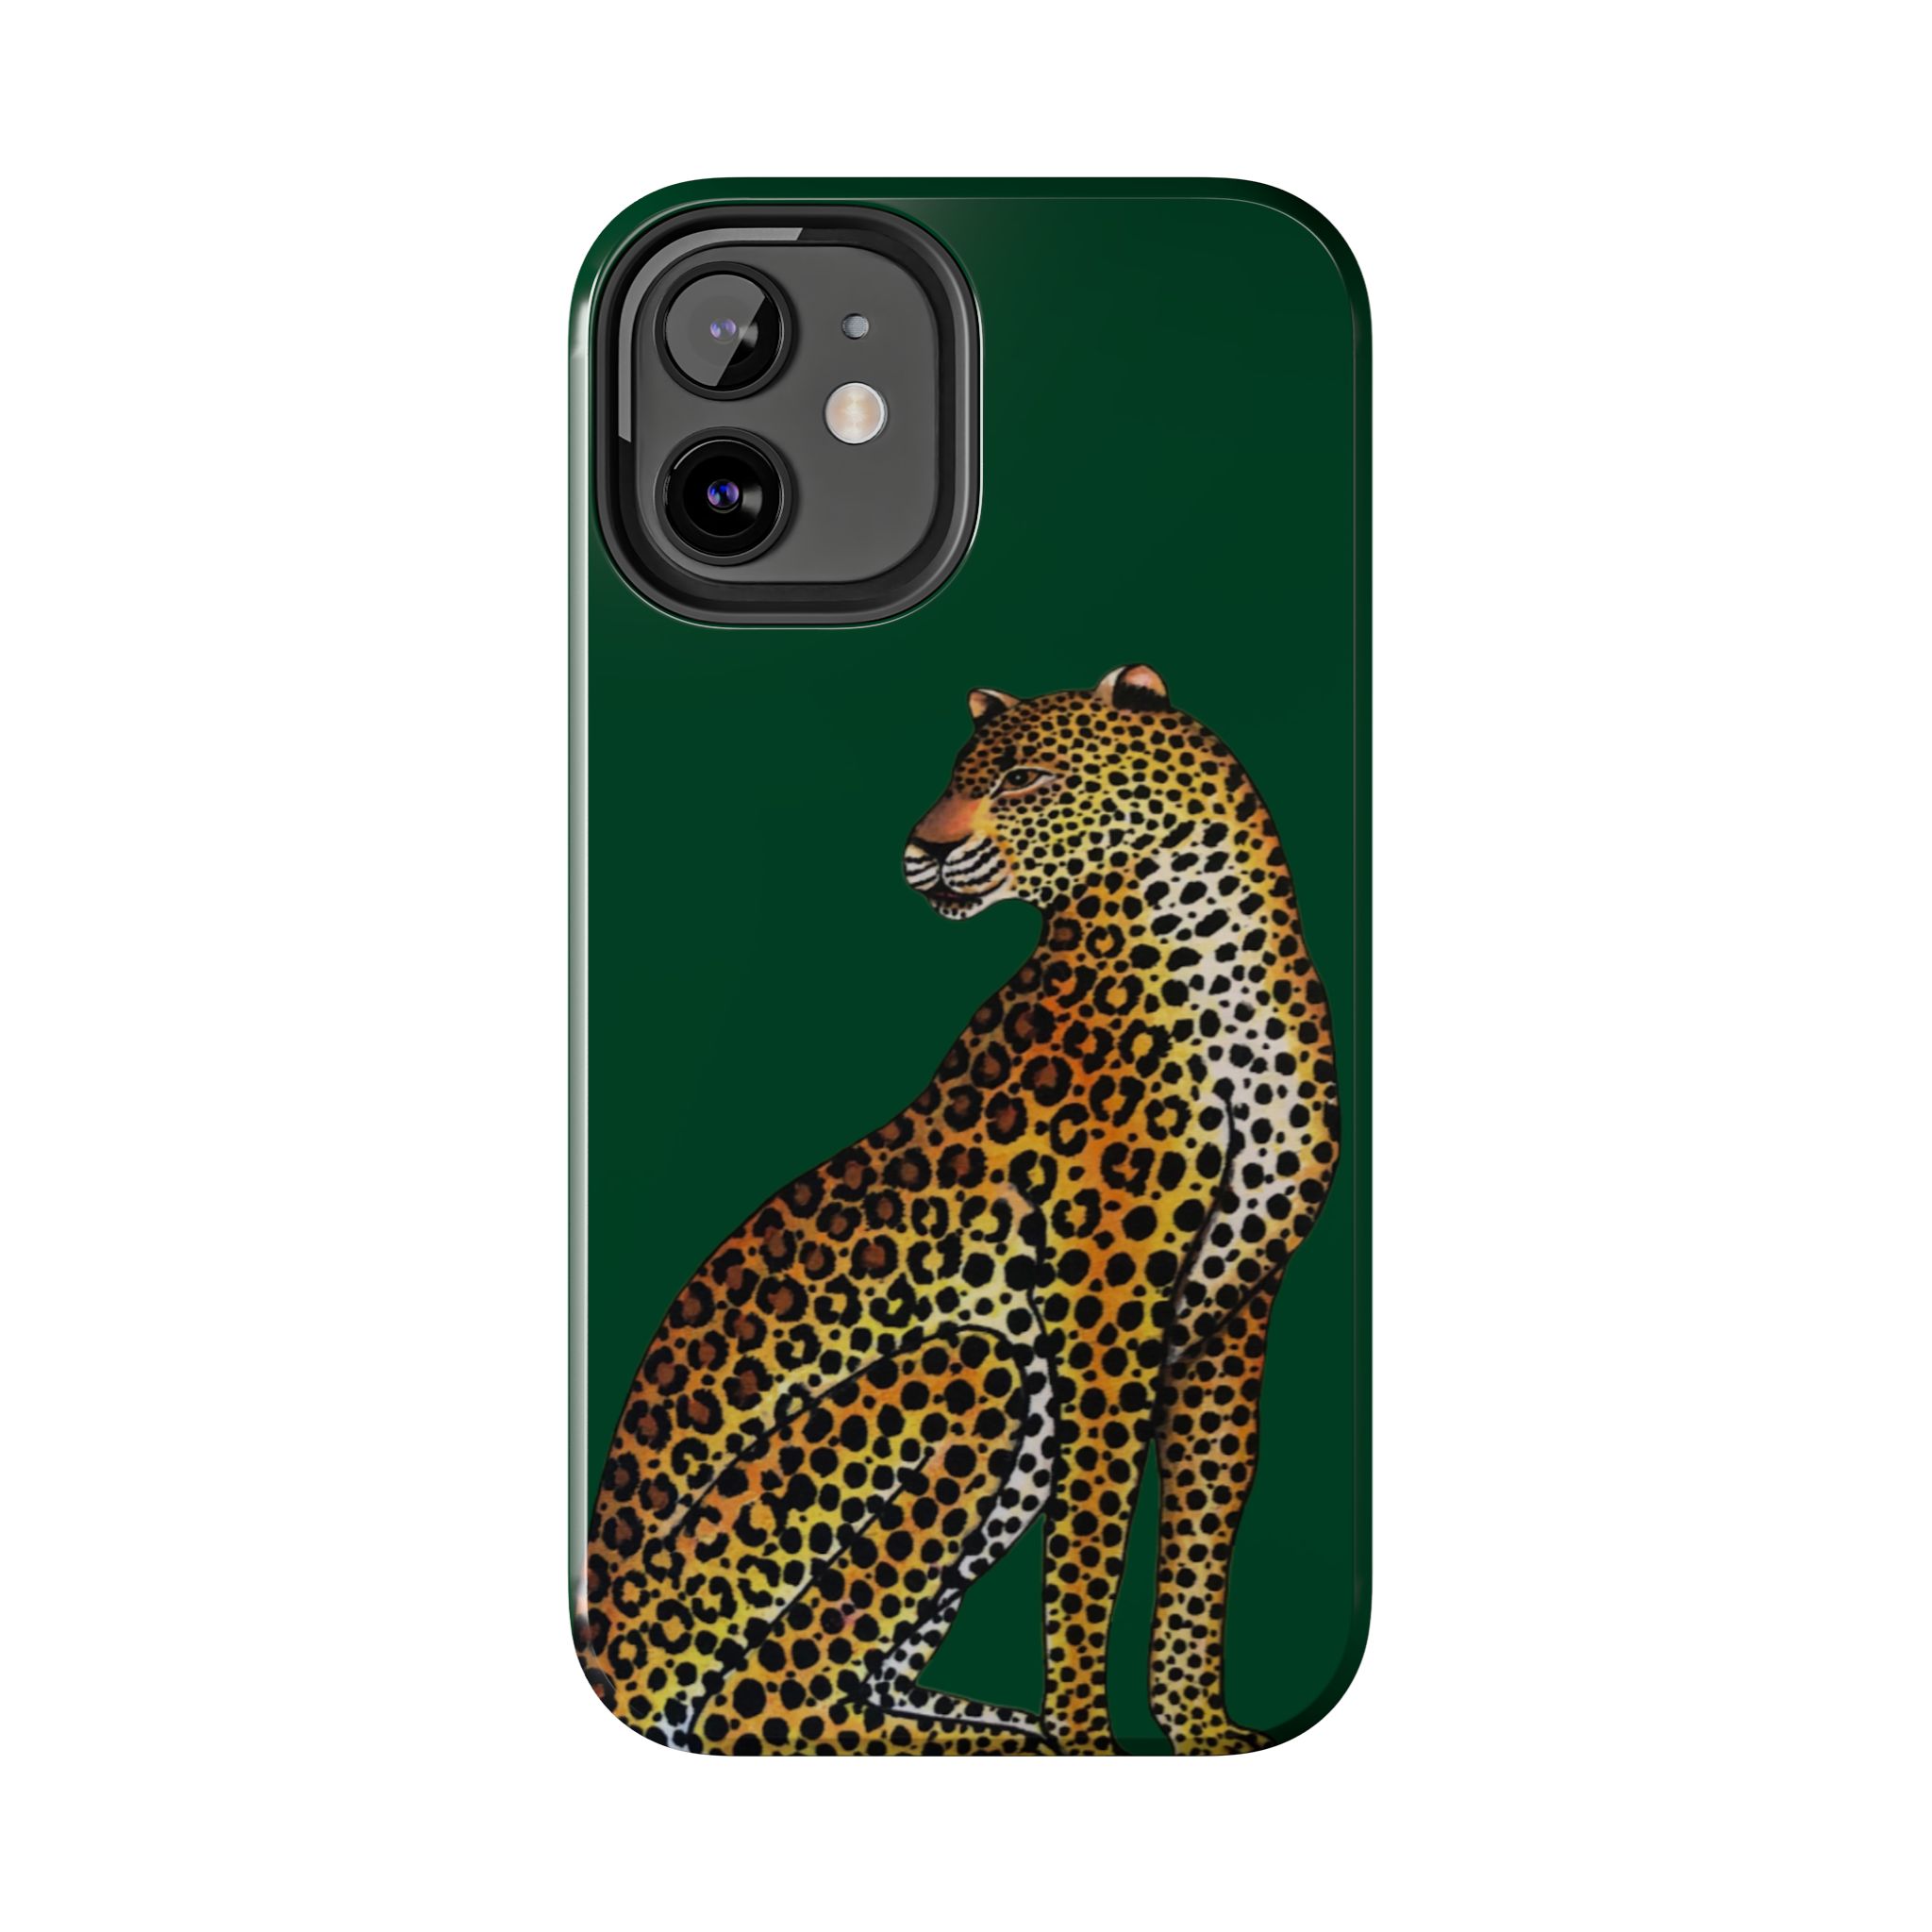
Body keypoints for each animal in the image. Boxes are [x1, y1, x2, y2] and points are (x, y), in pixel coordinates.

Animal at [575, 662, 1340, 1755]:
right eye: (954, 779)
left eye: (1023, 778)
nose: (923, 848)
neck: (1217, 946)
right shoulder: (1106, 1319)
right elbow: (1089, 1547)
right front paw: (1092, 1741)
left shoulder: (1235, 1315)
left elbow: (1201, 1528)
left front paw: (1199, 1731)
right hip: (971, 1375)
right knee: (770, 1700)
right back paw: (1015, 1742)